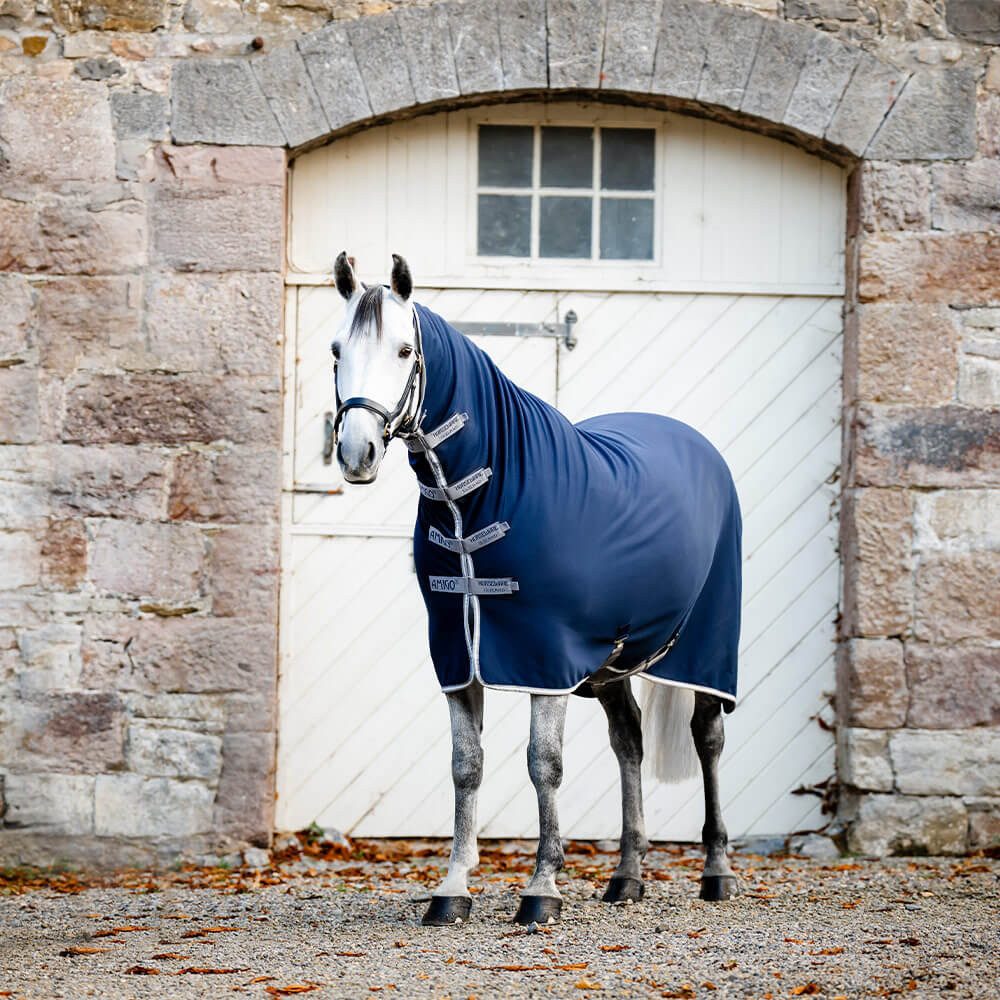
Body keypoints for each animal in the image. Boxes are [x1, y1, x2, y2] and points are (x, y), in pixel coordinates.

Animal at [330, 252, 742, 926]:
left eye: (403, 350)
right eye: (337, 347)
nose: (355, 452)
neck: (474, 499)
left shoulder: (543, 656)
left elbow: (542, 765)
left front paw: (542, 887)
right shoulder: (461, 655)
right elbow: (465, 767)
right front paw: (453, 889)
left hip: (706, 647)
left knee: (708, 738)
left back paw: (717, 870)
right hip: (613, 664)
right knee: (628, 742)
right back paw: (626, 877)